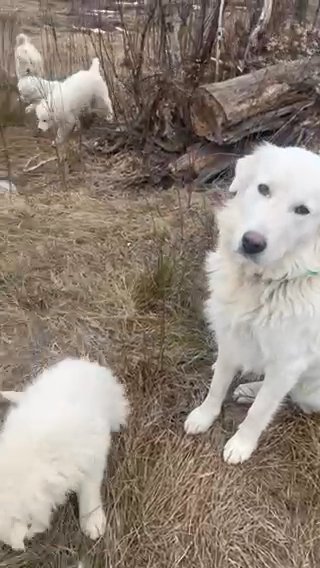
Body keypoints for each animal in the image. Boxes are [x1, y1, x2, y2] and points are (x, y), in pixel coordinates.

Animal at [185, 142, 320, 462]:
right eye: (264, 189)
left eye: (303, 210)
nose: (251, 243)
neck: (263, 283)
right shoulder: (230, 333)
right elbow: (217, 385)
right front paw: (204, 416)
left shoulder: (288, 362)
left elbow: (260, 412)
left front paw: (241, 445)